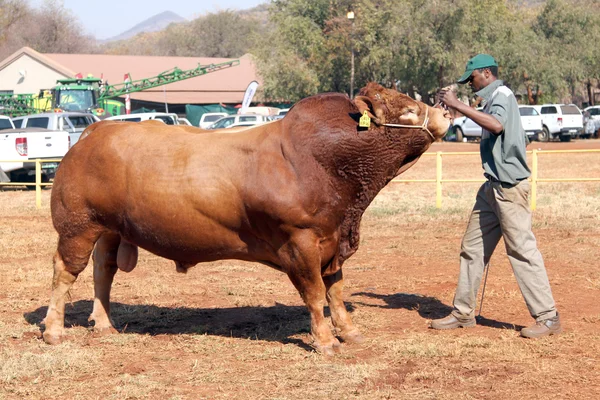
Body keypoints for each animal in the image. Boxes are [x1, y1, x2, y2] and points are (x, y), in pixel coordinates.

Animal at [43, 83, 450, 354]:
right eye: (408, 111)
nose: (445, 112)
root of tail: (96, 129)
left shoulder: (334, 240)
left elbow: (335, 290)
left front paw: (349, 332)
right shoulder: (301, 241)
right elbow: (315, 293)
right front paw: (324, 341)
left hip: (109, 228)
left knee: (104, 270)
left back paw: (104, 325)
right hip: (77, 226)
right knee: (65, 272)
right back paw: (53, 330)